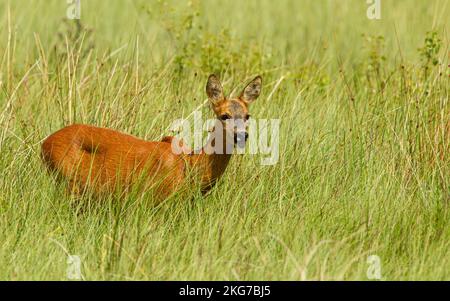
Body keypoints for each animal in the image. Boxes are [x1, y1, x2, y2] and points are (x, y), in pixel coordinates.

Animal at [41, 74, 264, 200]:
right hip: (68, 181)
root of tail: (44, 144)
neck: (192, 166)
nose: (242, 136)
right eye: (224, 115)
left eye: (247, 115)